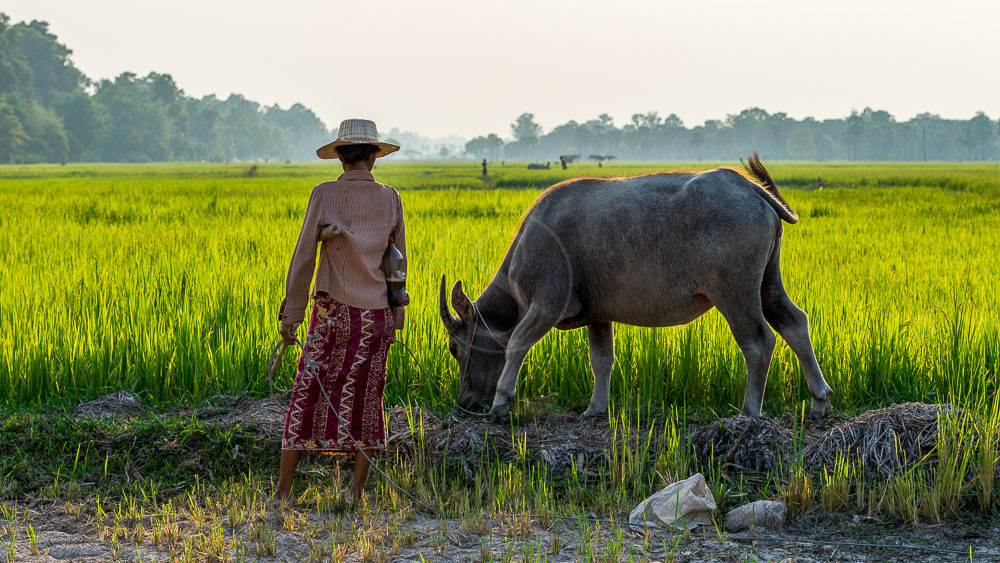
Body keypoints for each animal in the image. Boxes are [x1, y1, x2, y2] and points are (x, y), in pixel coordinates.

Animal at [442, 152, 832, 420]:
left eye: (455, 348)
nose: (465, 402)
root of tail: (749, 187)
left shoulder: (546, 304)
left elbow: (516, 344)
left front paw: (501, 402)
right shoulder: (598, 317)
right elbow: (602, 360)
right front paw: (595, 409)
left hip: (734, 292)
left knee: (758, 341)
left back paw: (749, 410)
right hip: (768, 284)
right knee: (794, 322)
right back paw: (820, 401)